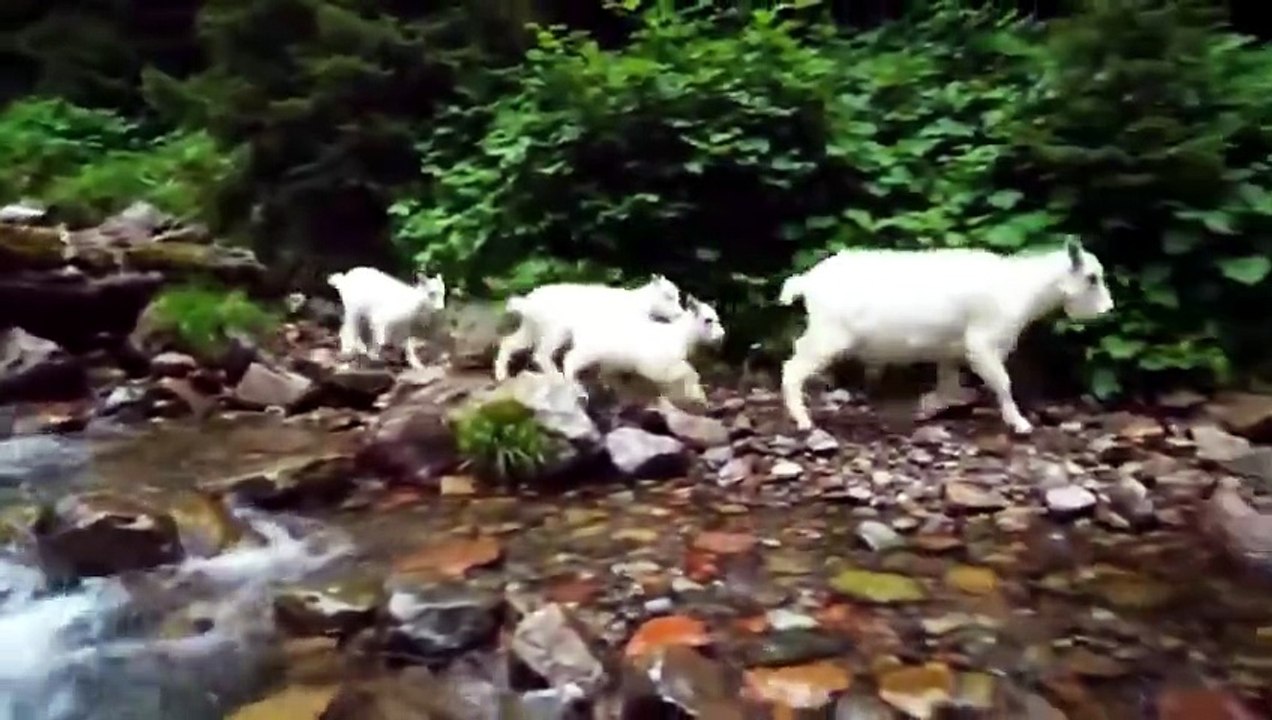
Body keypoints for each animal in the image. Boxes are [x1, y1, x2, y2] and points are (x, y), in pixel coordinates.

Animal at [493, 275, 685, 382]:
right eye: (668, 296)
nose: (679, 314)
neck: (640, 303)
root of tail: (528, 303)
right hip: (555, 329)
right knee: (541, 353)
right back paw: (557, 376)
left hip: (531, 328)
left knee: (510, 342)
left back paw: (501, 375)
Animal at [561, 295, 726, 406]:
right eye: (708, 320)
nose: (721, 336)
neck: (681, 336)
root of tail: (576, 326)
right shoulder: (658, 367)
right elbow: (690, 373)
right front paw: (698, 397)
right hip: (587, 351)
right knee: (569, 359)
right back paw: (573, 386)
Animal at [778, 238, 1114, 434]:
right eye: (1091, 278)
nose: (1107, 309)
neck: (1020, 288)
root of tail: (808, 282)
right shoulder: (983, 343)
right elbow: (1003, 383)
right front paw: (1019, 424)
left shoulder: (951, 352)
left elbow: (948, 386)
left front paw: (929, 410)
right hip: (828, 335)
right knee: (792, 369)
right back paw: (803, 420)